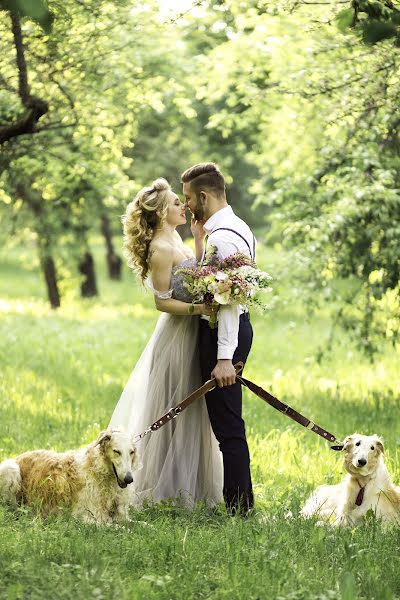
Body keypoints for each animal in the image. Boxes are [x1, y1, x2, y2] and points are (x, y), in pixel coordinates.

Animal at [0, 428, 139, 524]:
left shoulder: (122, 516)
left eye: (131, 452)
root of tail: (18, 456)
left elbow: (138, 524)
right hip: (10, 468)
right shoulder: (87, 517)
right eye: (116, 451)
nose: (129, 479)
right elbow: (119, 528)